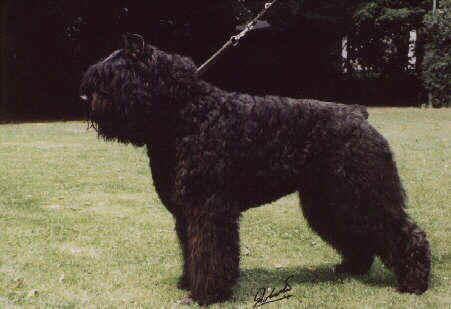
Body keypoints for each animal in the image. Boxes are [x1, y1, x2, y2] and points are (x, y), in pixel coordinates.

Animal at [80, 38, 430, 304]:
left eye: (111, 75)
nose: (85, 95)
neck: (186, 113)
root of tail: (359, 115)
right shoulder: (186, 212)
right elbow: (191, 249)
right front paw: (188, 281)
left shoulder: (208, 208)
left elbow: (209, 252)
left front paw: (206, 294)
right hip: (330, 200)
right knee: (357, 234)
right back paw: (352, 268)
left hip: (360, 192)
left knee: (405, 232)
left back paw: (415, 283)